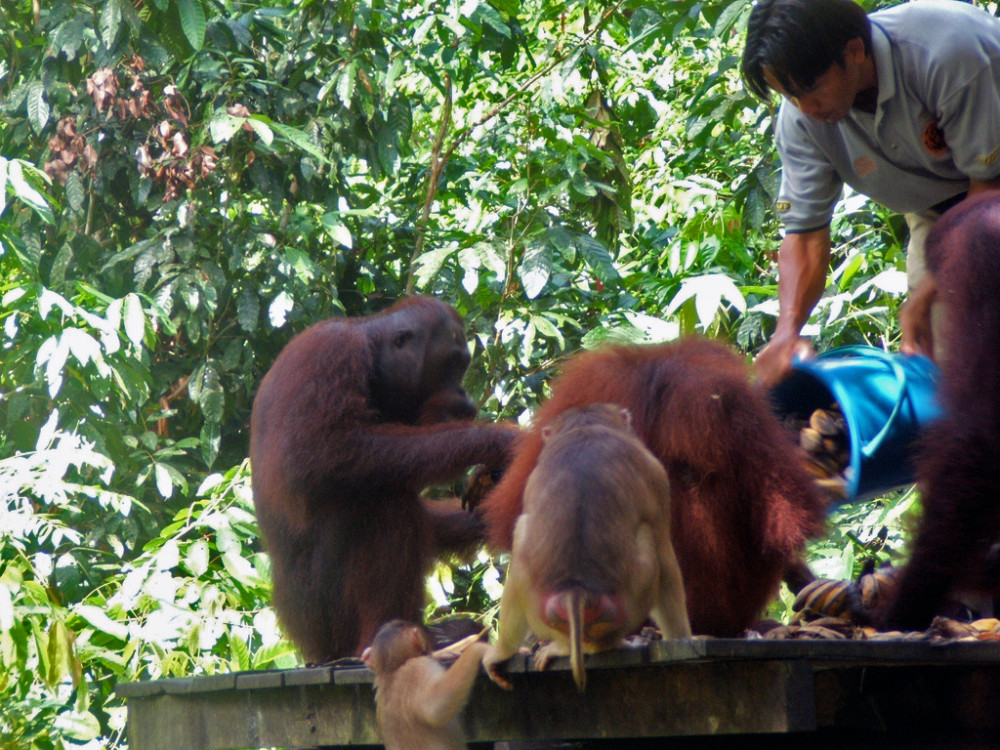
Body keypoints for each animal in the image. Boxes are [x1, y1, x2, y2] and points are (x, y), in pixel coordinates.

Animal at [482, 406, 688, 692]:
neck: (584, 427)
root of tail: (577, 590)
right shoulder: (656, 473)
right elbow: (665, 554)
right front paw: (682, 638)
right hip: (625, 607)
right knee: (649, 538)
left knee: (521, 541)